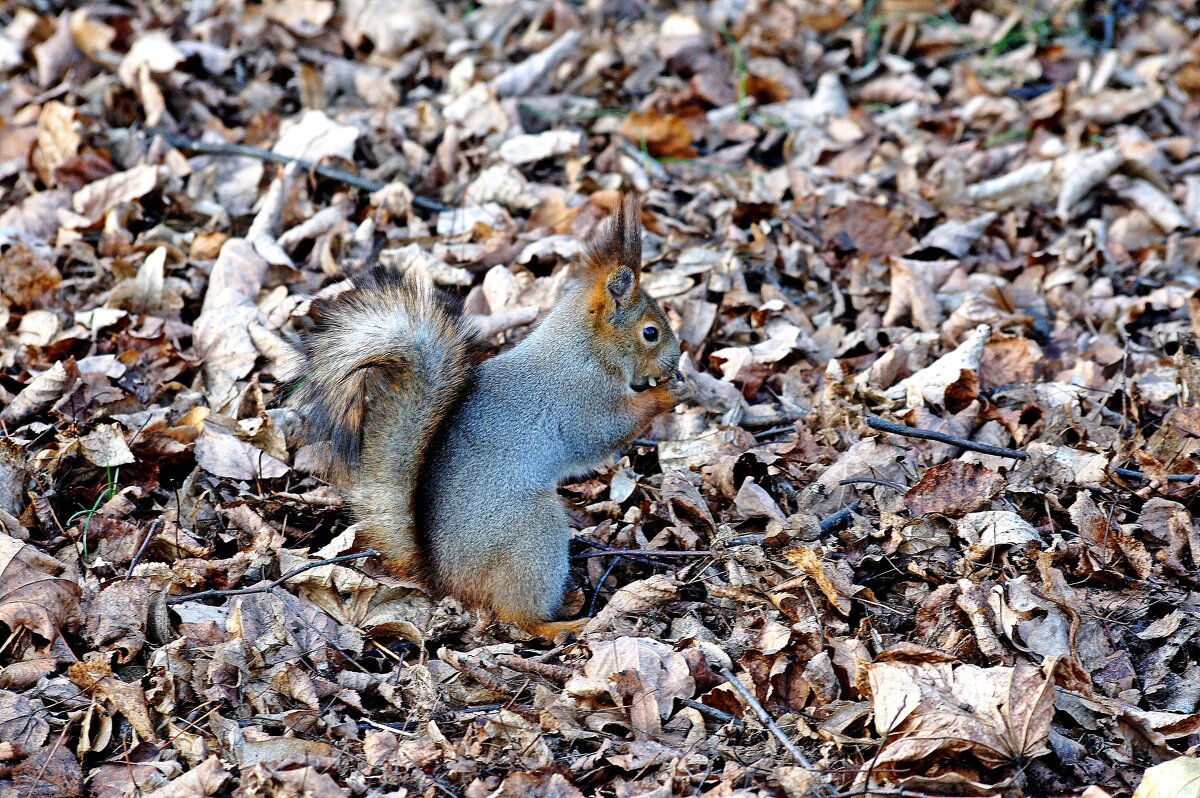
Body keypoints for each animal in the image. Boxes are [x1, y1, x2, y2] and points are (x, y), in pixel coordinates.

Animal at [282, 195, 691, 638]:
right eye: (650, 333)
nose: (675, 361)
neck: (586, 350)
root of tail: (445, 580)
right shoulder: (581, 400)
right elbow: (604, 434)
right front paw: (667, 393)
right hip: (534, 533)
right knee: (514, 615)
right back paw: (559, 626)